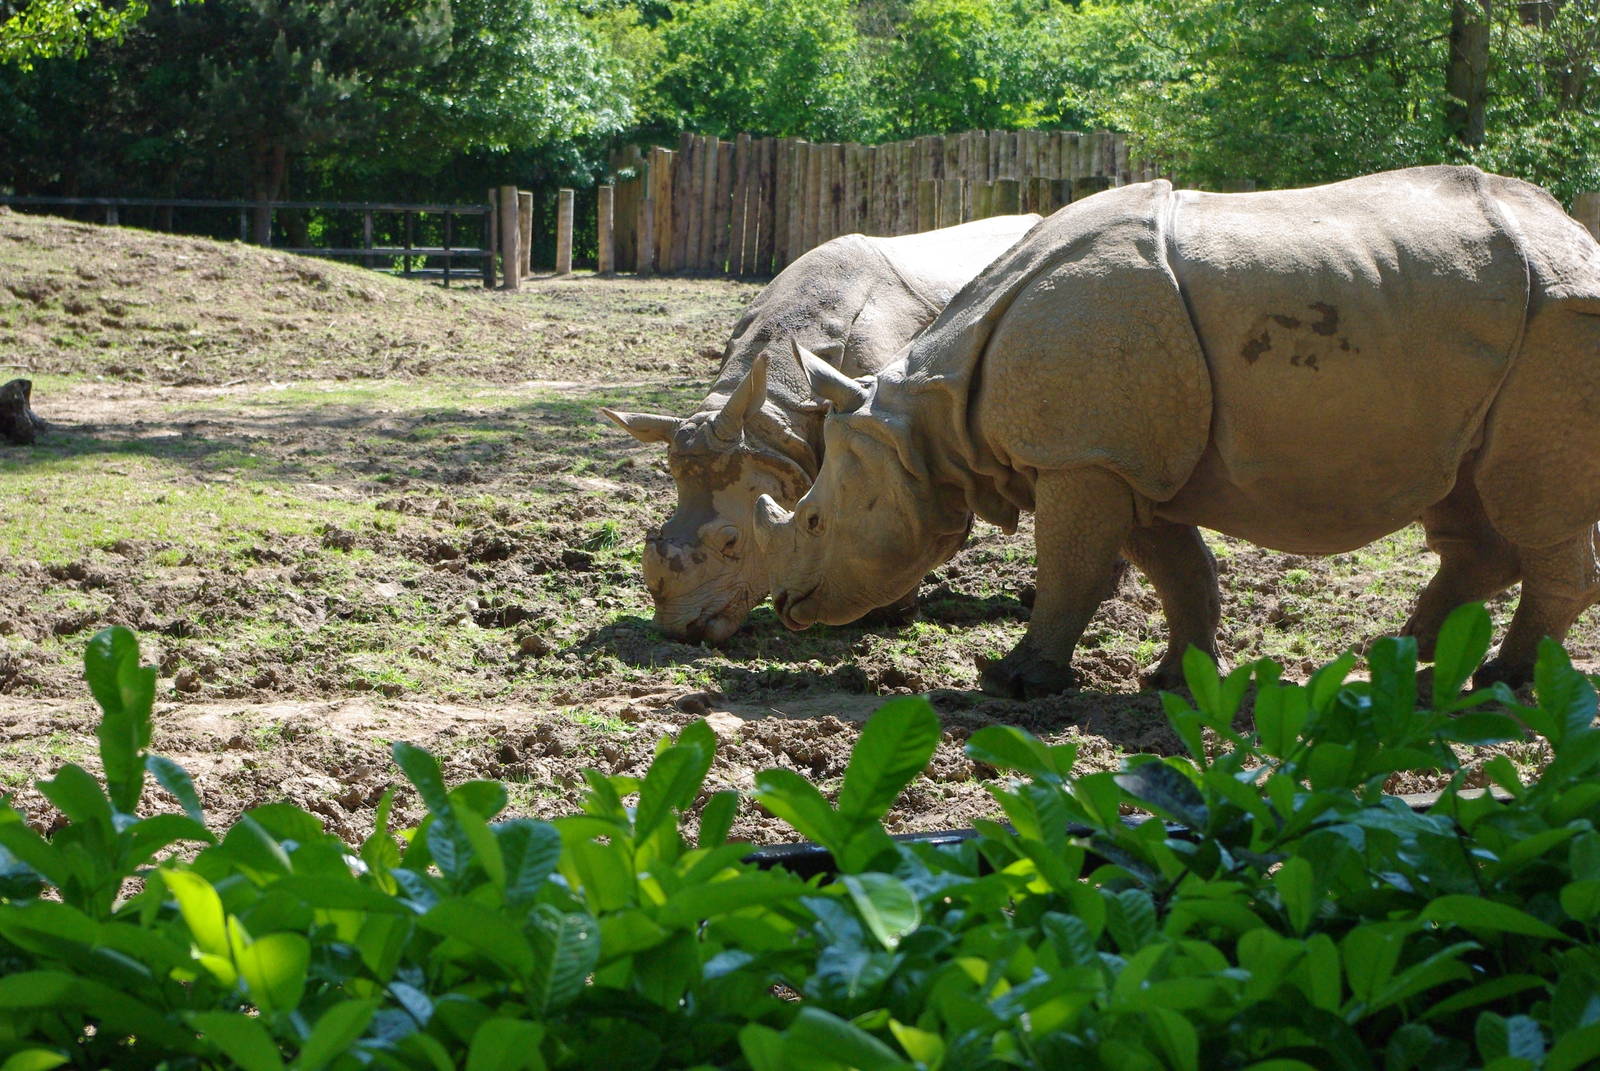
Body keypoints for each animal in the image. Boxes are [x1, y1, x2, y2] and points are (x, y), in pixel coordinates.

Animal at [754, 166, 1600, 696]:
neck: (930, 415)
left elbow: (1072, 570)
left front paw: (1015, 681)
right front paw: (1175, 680)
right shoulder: (1124, 461)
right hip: (1488, 344)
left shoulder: (1083, 458)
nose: (788, 607)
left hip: (1558, 324)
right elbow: (1179, 571)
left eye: (818, 519)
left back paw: (1502, 681)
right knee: (1467, 498)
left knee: (1531, 503)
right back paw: (1402, 656)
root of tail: (1577, 234)